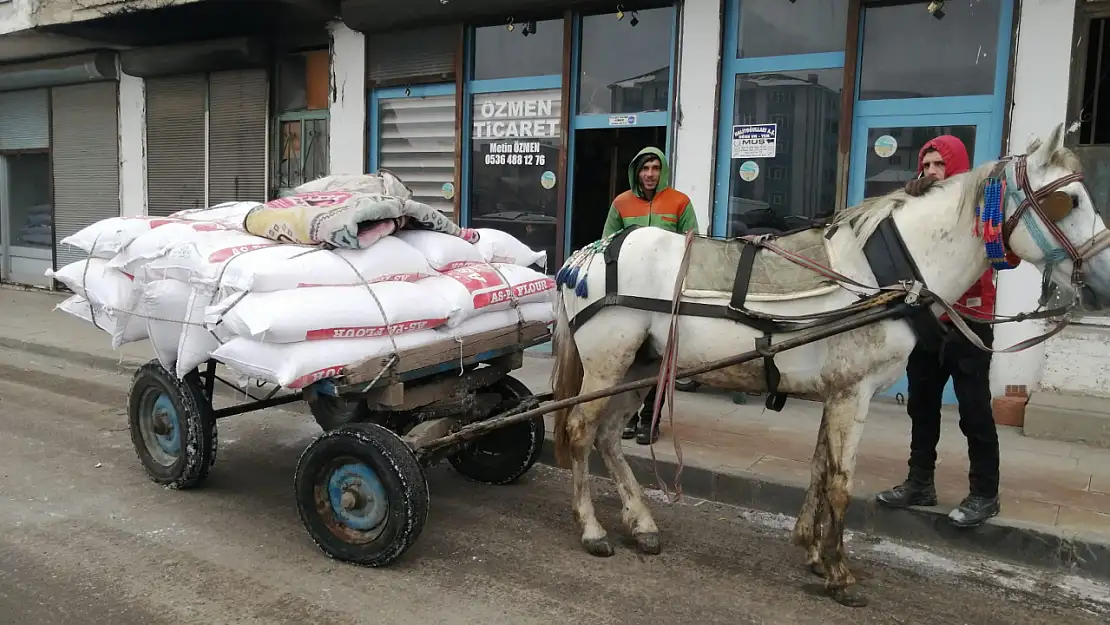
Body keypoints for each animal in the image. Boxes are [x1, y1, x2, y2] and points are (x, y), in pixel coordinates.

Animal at [550, 122, 1110, 608]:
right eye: (1071, 201)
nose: (1103, 283)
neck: (885, 275)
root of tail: (586, 255)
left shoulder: (835, 392)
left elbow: (820, 471)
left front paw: (814, 552)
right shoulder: (852, 392)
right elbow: (840, 481)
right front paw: (840, 573)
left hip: (642, 366)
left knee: (607, 437)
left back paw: (642, 523)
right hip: (609, 363)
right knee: (580, 432)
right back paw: (592, 529)